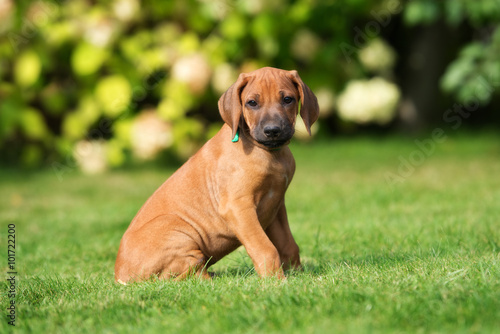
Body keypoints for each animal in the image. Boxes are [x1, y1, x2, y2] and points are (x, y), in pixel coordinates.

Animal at [114, 66, 318, 284]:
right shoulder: (238, 207)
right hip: (177, 229)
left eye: (288, 99)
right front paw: (276, 282)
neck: (270, 154)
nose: (272, 131)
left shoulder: (276, 206)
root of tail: (120, 276)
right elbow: (265, 248)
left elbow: (288, 245)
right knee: (182, 275)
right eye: (252, 103)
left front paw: (298, 275)